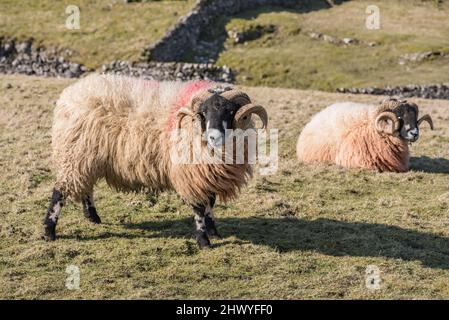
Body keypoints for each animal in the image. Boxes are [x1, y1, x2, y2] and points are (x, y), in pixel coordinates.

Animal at [43, 74, 266, 248]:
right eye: (203, 113)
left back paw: (93, 217)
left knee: (86, 187)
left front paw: (214, 232)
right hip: (75, 155)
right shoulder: (189, 174)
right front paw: (204, 241)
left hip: (87, 159)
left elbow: (210, 203)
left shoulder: (206, 174)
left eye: (230, 111)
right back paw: (49, 231)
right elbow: (199, 208)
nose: (213, 137)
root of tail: (70, 93)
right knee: (59, 192)